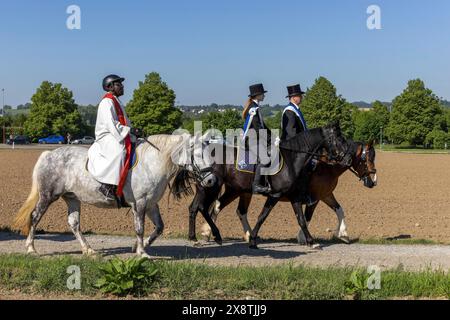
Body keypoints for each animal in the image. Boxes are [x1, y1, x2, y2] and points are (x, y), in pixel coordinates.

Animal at [13, 134, 217, 258]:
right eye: (198, 154)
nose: (211, 180)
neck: (151, 163)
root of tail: (48, 154)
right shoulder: (140, 203)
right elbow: (140, 228)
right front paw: (142, 253)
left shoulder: (151, 204)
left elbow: (159, 228)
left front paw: (138, 247)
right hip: (48, 196)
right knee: (35, 217)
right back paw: (31, 248)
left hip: (72, 198)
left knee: (74, 224)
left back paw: (88, 250)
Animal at [172, 122, 352, 248]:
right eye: (339, 139)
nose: (348, 159)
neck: (292, 160)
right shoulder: (275, 195)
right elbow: (262, 216)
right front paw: (253, 241)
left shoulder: (295, 197)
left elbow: (301, 219)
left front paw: (311, 241)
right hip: (210, 187)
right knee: (202, 208)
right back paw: (214, 235)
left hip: (223, 188)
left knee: (197, 208)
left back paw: (195, 237)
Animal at [191, 140, 376, 245]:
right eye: (366, 159)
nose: (373, 181)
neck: (326, 167)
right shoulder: (314, 197)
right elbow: (307, 217)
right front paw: (303, 238)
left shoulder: (326, 195)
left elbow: (339, 209)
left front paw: (344, 234)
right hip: (216, 188)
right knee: (209, 207)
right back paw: (209, 233)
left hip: (236, 190)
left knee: (225, 208)